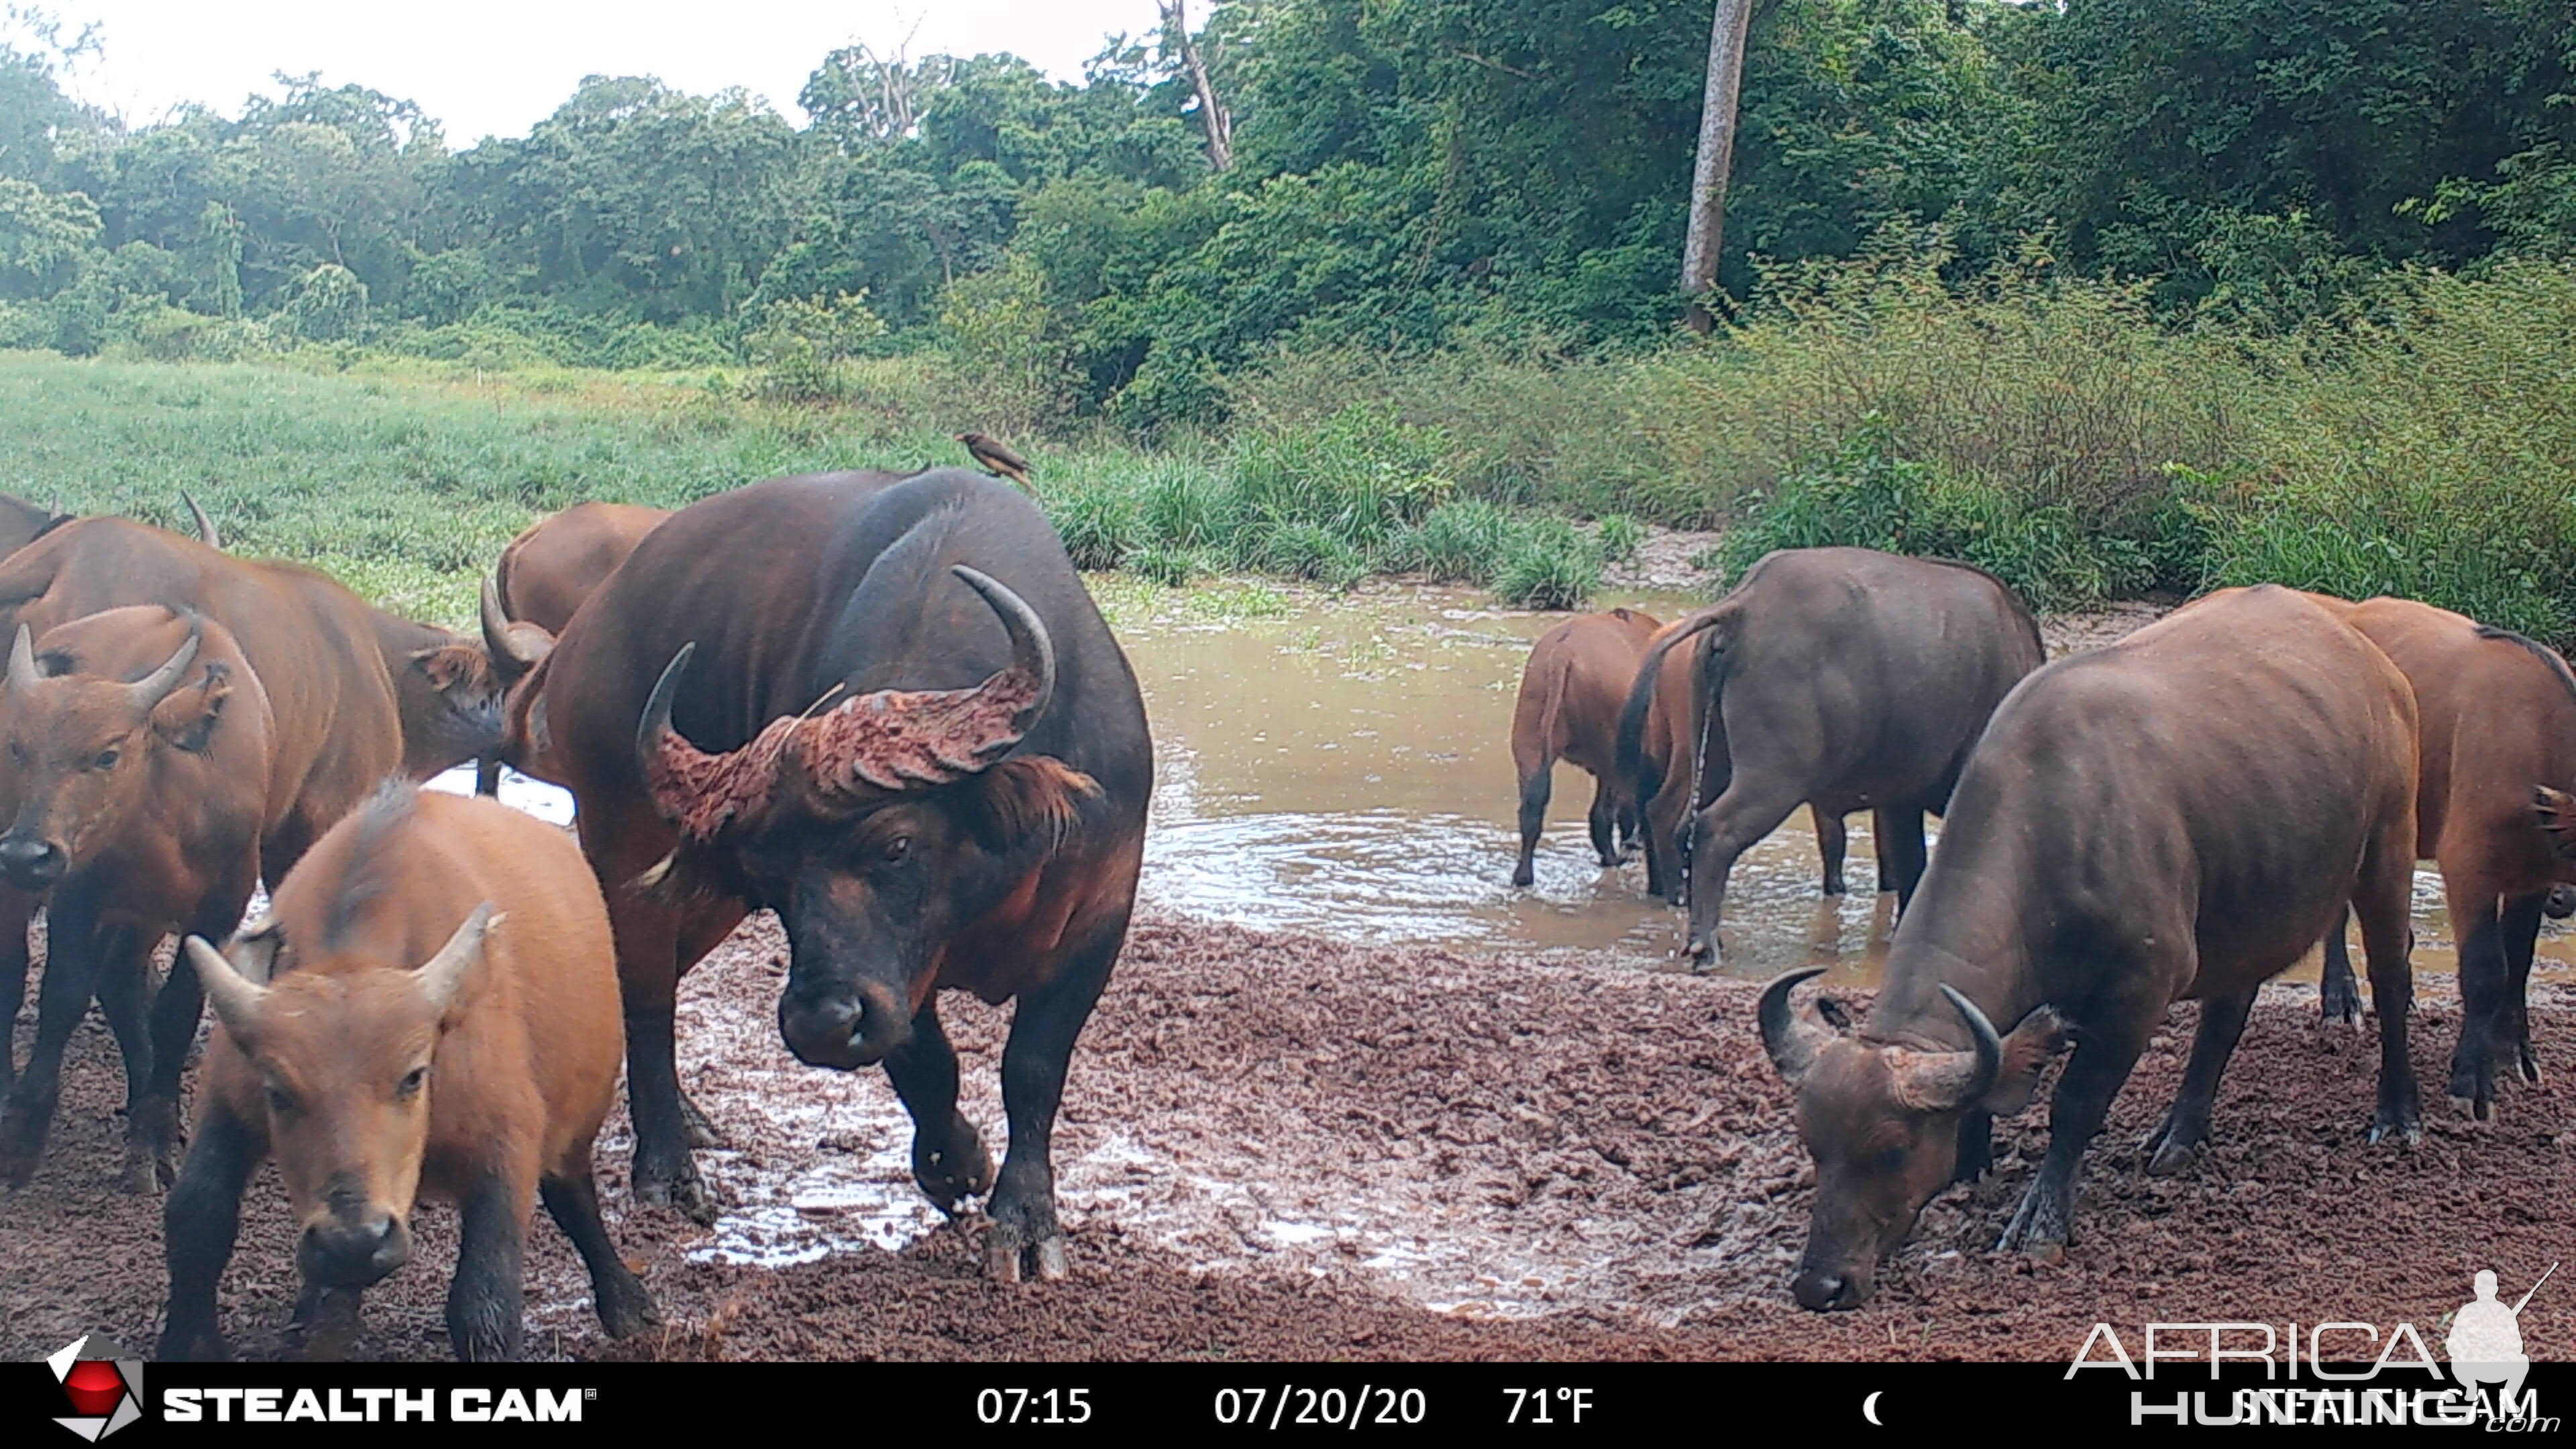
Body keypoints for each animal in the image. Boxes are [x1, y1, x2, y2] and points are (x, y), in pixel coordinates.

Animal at [162, 778, 659, 1350]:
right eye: (278, 1092)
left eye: (413, 1076)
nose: (354, 1241)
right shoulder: (227, 1106)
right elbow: (195, 1217)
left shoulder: (506, 1144)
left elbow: (485, 1303)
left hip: (577, 1121)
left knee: (573, 1192)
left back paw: (625, 1302)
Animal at [497, 464, 1143, 1273]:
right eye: (774, 880)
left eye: (896, 845)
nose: (821, 1026)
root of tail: (580, 638)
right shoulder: (895, 973)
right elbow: (923, 1058)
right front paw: (955, 1163)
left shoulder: (1101, 909)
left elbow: (1032, 1069)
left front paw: (1023, 1220)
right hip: (623, 844)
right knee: (645, 999)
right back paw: (669, 1168)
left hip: (705, 900)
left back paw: (693, 1117)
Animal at [1504, 606, 1658, 887]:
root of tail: (1563, 652)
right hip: (1611, 759)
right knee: (1601, 817)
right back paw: (1613, 858)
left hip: (1530, 744)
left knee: (1531, 811)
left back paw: (1523, 876)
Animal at [1762, 580, 2421, 1304]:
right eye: (1812, 1141)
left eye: (1892, 1149)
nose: (1821, 1284)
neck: (2051, 828)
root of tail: (2372, 660)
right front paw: (1971, 1165)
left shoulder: (2140, 989)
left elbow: (2075, 1104)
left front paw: (2041, 1220)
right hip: (2251, 897)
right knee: (2226, 1014)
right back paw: (2179, 1134)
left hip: (2388, 850)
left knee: (2392, 981)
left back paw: (2398, 1114)